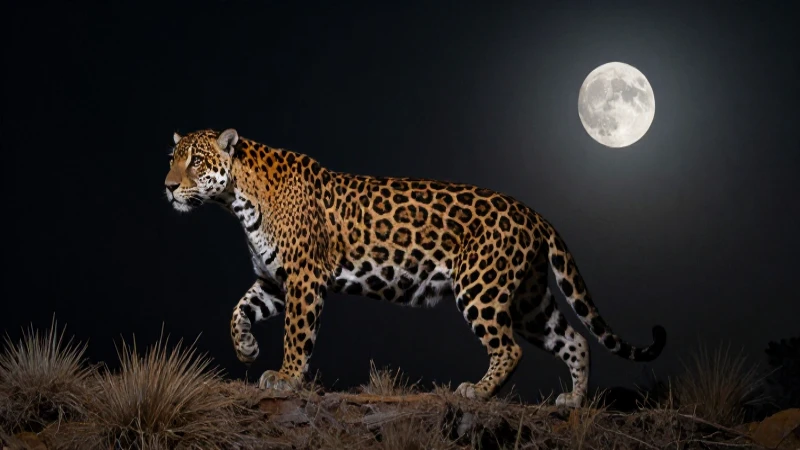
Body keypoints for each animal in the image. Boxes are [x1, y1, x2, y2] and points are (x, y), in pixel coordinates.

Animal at [164, 128, 666, 407]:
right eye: (171, 159)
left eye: (196, 162)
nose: (167, 187)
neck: (238, 199)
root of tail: (534, 213)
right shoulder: (273, 279)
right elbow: (237, 310)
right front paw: (247, 350)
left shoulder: (304, 278)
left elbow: (297, 334)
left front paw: (286, 379)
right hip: (528, 300)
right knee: (575, 339)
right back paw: (574, 401)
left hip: (481, 288)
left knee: (510, 349)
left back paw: (477, 391)